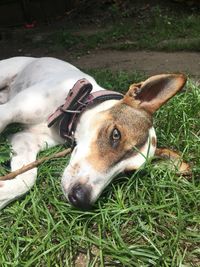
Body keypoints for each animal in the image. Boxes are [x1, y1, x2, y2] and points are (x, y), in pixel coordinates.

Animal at [0, 57, 189, 211]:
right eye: (115, 135)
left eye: (127, 172)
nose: (81, 199)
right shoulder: (8, 111)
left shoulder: (24, 140)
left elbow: (27, 178)